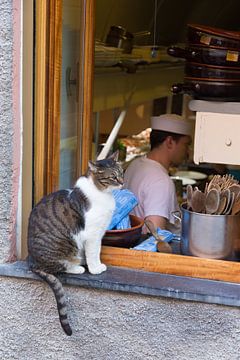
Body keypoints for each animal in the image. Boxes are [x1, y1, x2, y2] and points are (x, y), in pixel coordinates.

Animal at [27, 151, 124, 334]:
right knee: (60, 267)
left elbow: (95, 251)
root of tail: (33, 264)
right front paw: (96, 269)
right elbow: (94, 253)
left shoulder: (99, 232)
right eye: (113, 177)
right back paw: (78, 267)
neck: (102, 193)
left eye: (122, 172)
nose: (123, 182)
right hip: (66, 248)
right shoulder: (93, 234)